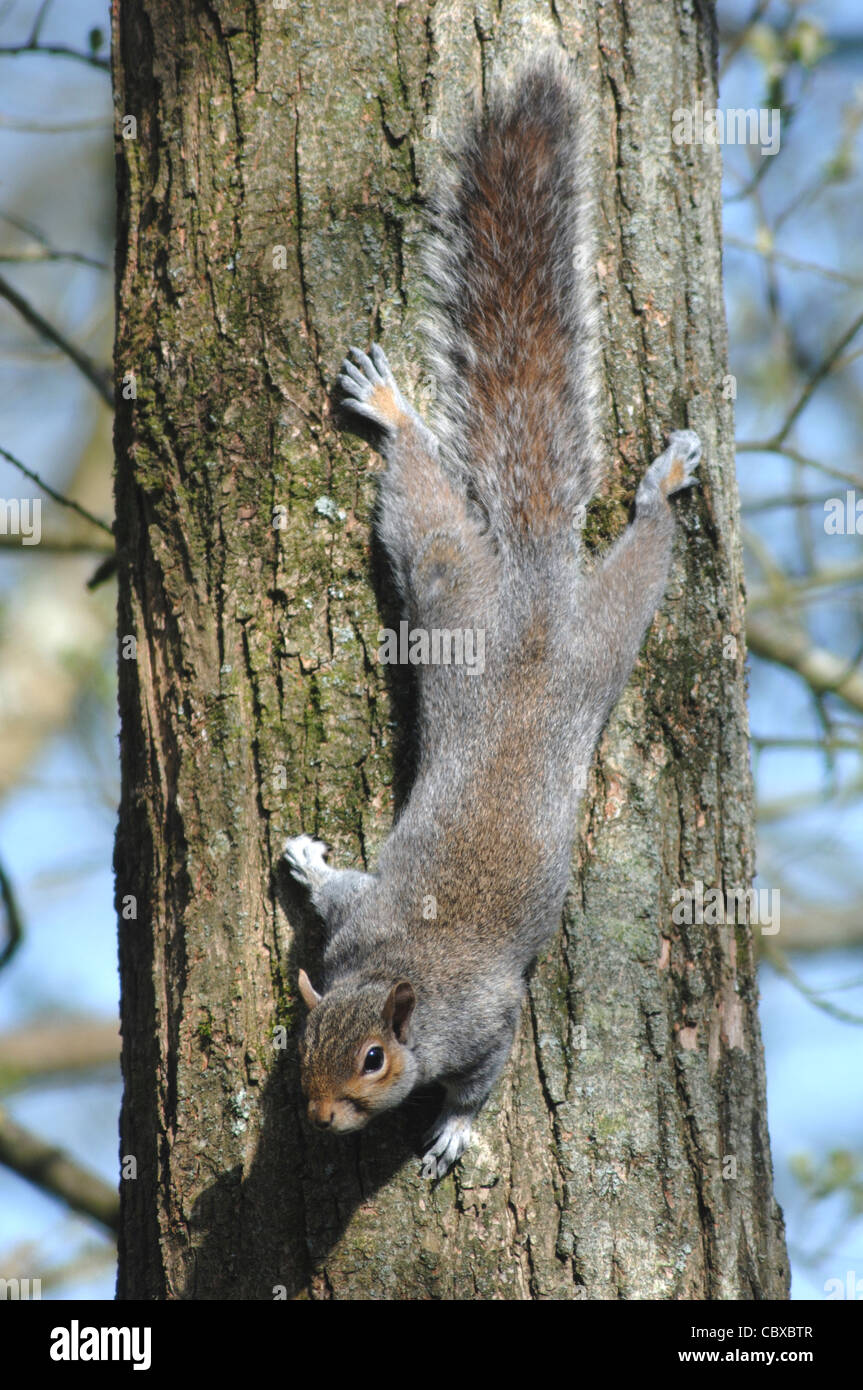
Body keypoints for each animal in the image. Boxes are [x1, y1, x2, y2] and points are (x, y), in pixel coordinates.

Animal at [282, 59, 700, 1178]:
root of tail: (530, 591)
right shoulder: (354, 929)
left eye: (375, 1059)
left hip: (578, 625)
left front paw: (453, 1129)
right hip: (453, 593)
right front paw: (308, 862)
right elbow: (337, 893)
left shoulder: (485, 1017)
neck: (400, 965)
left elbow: (483, 1073)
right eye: (303, 1041)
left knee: (621, 549)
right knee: (430, 511)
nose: (318, 1118)